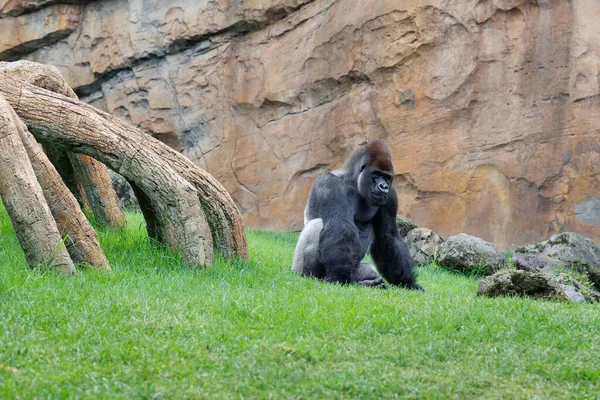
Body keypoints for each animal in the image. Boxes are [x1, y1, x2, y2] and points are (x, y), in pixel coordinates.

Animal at [290, 139, 422, 290]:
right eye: (377, 174)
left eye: (387, 177)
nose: (384, 186)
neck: (354, 182)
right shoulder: (329, 184)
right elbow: (340, 225)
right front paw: (340, 277)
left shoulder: (391, 197)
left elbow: (388, 235)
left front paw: (406, 281)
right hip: (299, 269)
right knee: (317, 225)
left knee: (368, 270)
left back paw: (366, 283)